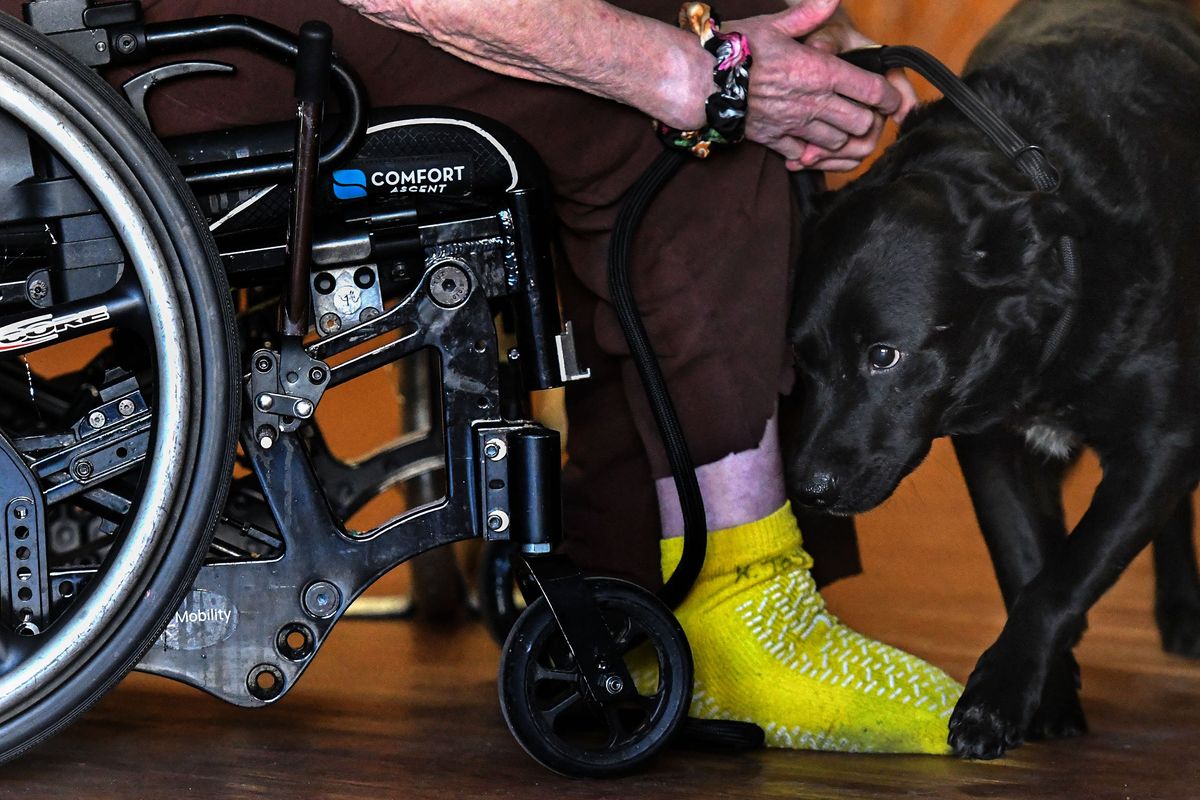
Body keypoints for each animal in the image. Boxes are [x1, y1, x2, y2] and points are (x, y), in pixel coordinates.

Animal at [782, 0, 1200, 762]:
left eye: (884, 356)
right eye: (804, 362)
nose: (811, 491)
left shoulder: (1162, 444)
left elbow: (1064, 576)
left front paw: (997, 696)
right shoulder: (991, 446)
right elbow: (1027, 561)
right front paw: (1046, 692)